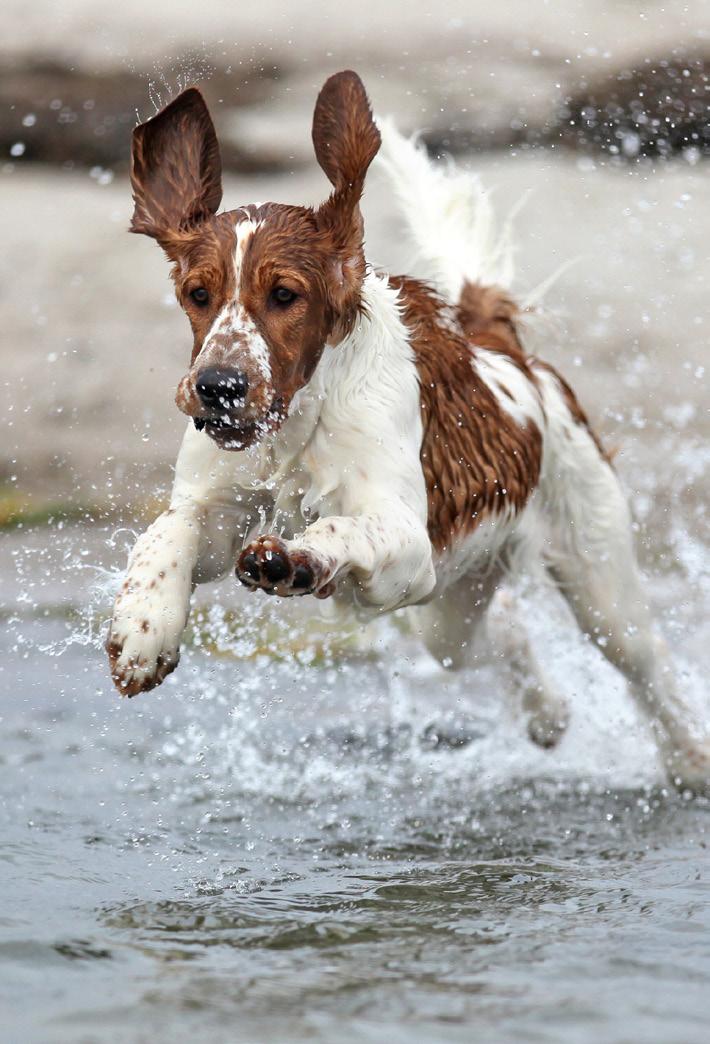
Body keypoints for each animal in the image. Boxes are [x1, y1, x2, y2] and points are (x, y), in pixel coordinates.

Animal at [105, 69, 710, 785]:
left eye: (285, 294)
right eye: (198, 294)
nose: (218, 388)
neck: (300, 420)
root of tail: (507, 351)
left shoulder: (407, 542)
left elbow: (341, 527)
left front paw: (297, 559)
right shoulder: (218, 505)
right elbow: (169, 532)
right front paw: (143, 629)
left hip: (595, 576)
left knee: (648, 663)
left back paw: (689, 760)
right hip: (449, 610)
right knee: (499, 631)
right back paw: (546, 714)